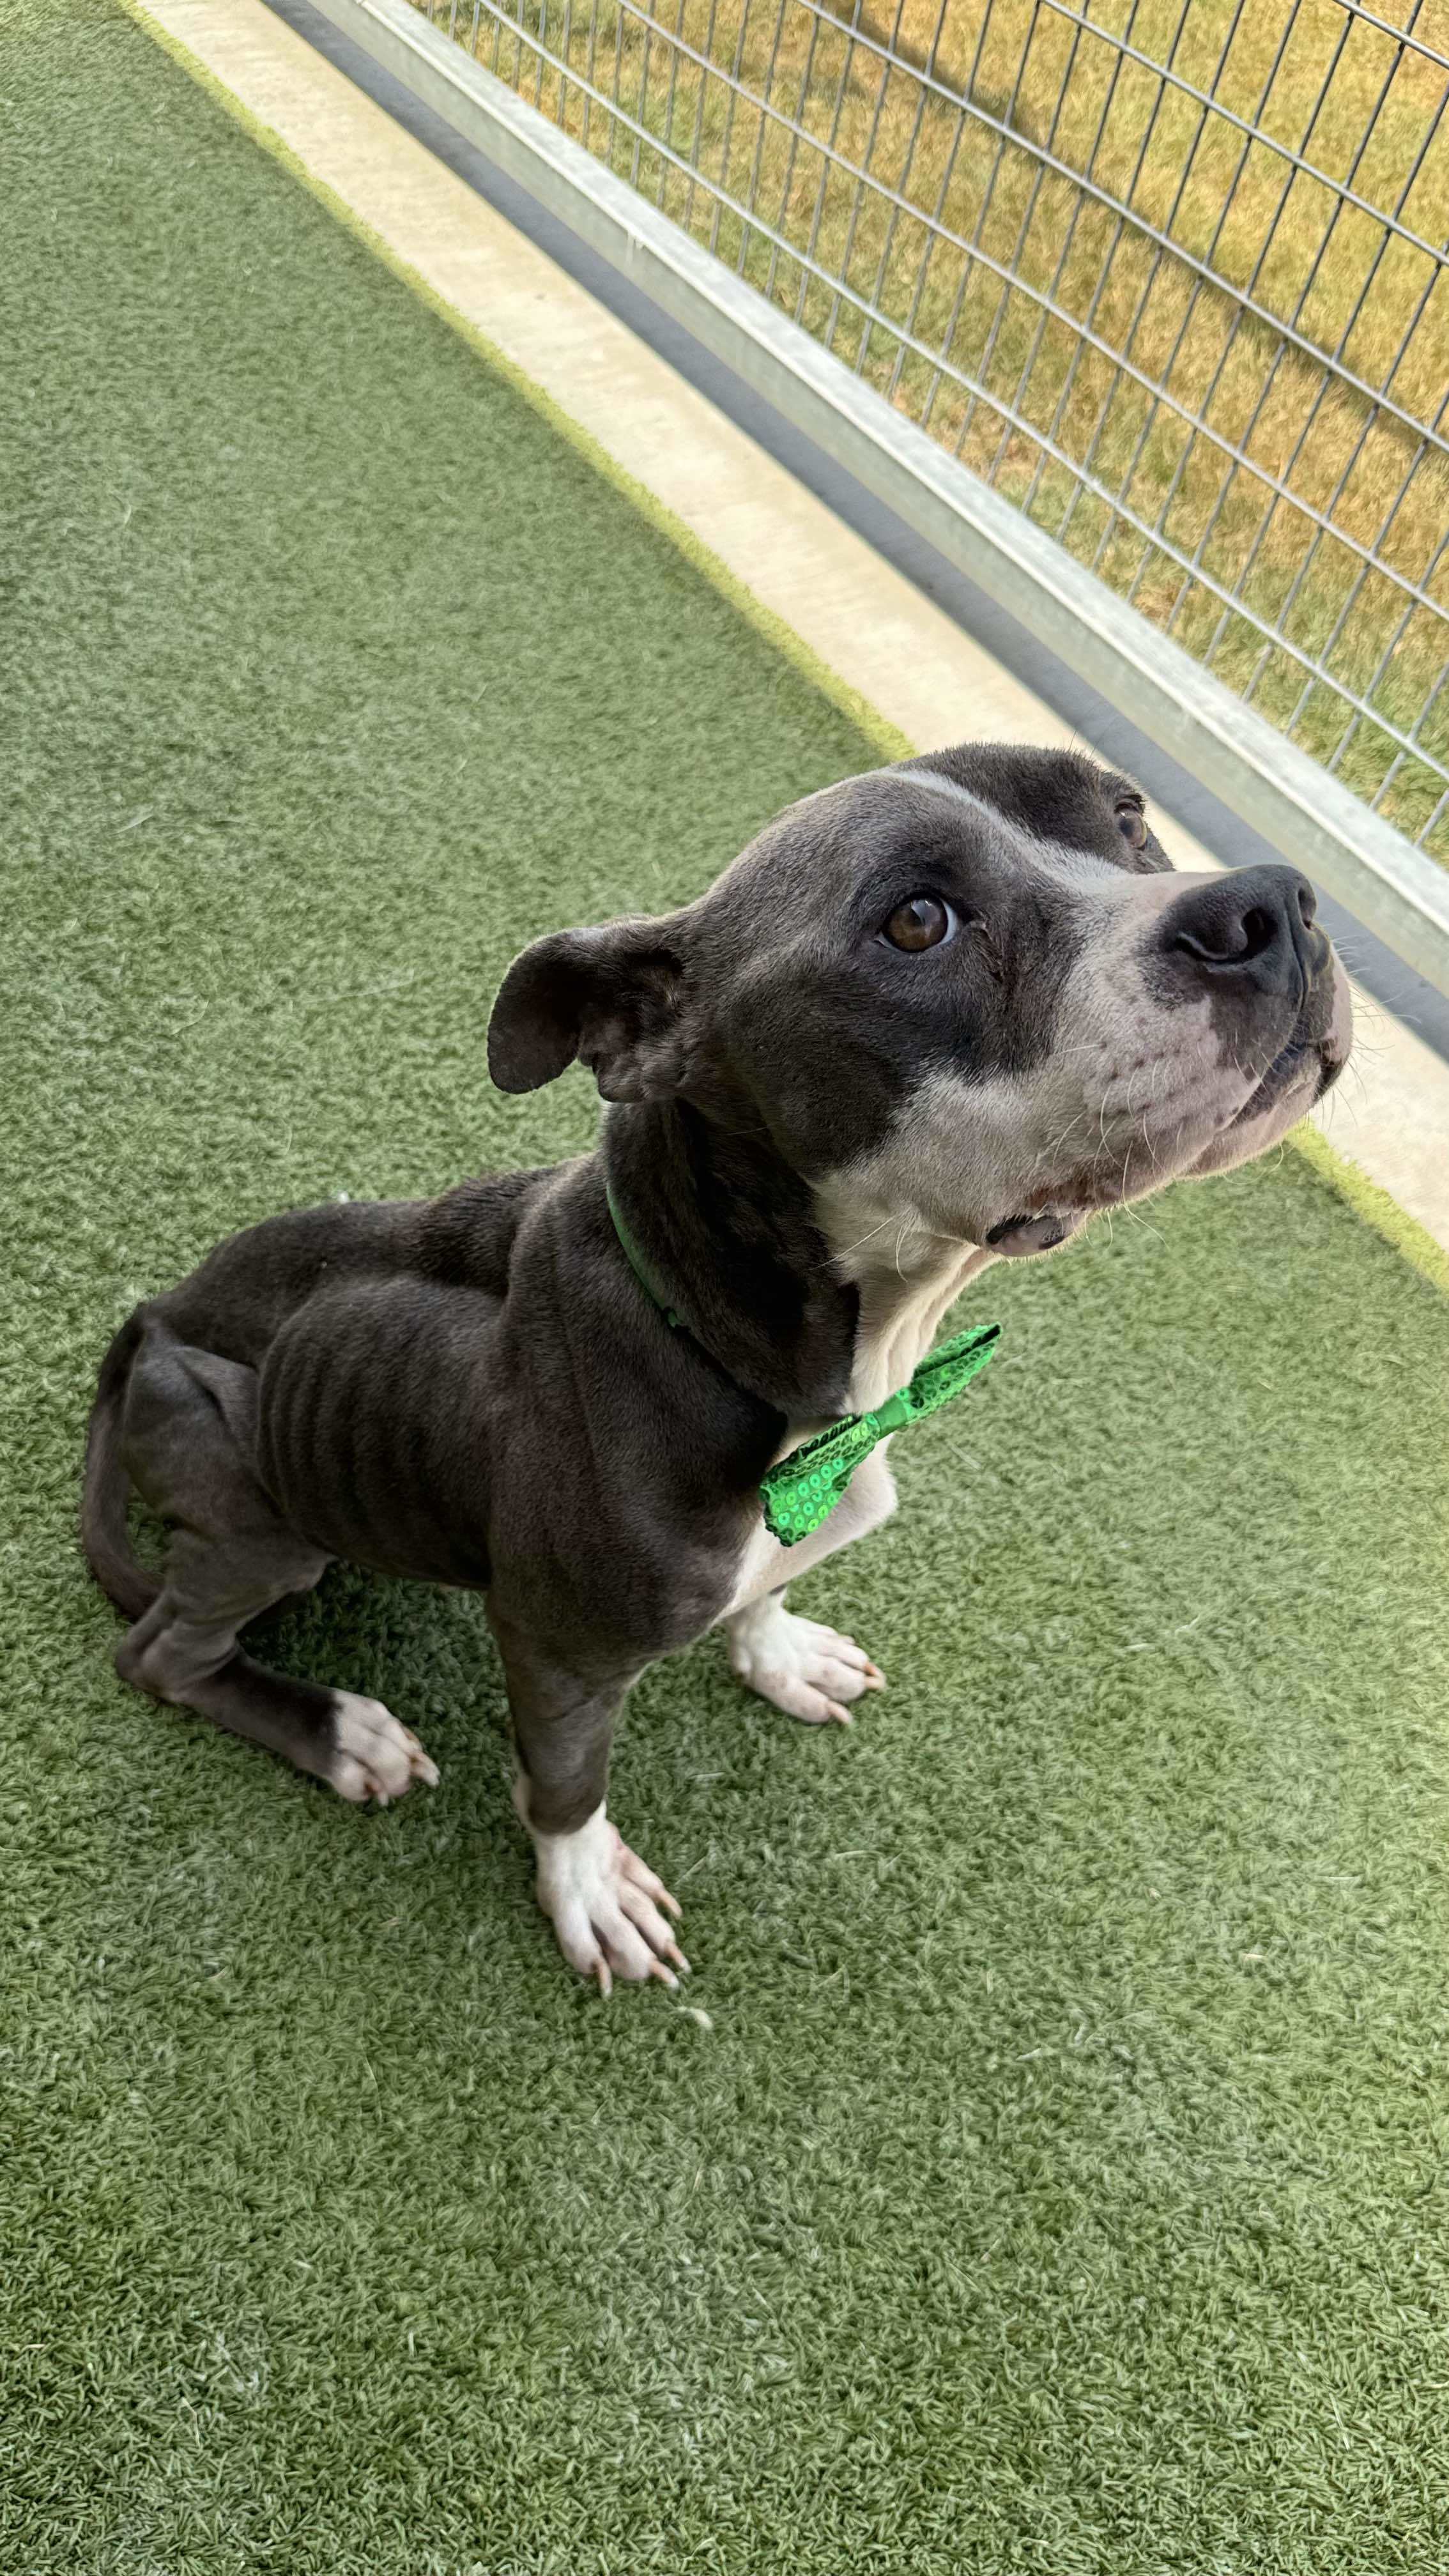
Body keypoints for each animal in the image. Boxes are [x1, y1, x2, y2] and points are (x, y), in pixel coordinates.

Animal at [82, 747, 1340, 1988]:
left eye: (1128, 814)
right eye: (916, 921)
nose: (1271, 905)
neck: (766, 1358)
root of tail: (150, 1316)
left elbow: (773, 1583)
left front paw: (778, 1653)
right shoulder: (559, 1650)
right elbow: (566, 1783)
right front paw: (587, 1887)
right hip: (261, 1519)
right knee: (162, 1656)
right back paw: (339, 1732)